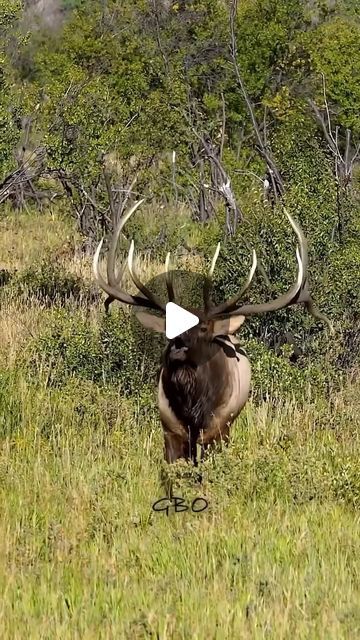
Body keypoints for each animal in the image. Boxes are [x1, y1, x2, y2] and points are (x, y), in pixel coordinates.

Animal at [92, 204, 332, 464]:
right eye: (169, 326)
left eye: (204, 328)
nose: (178, 346)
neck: (192, 407)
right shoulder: (170, 429)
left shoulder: (217, 430)